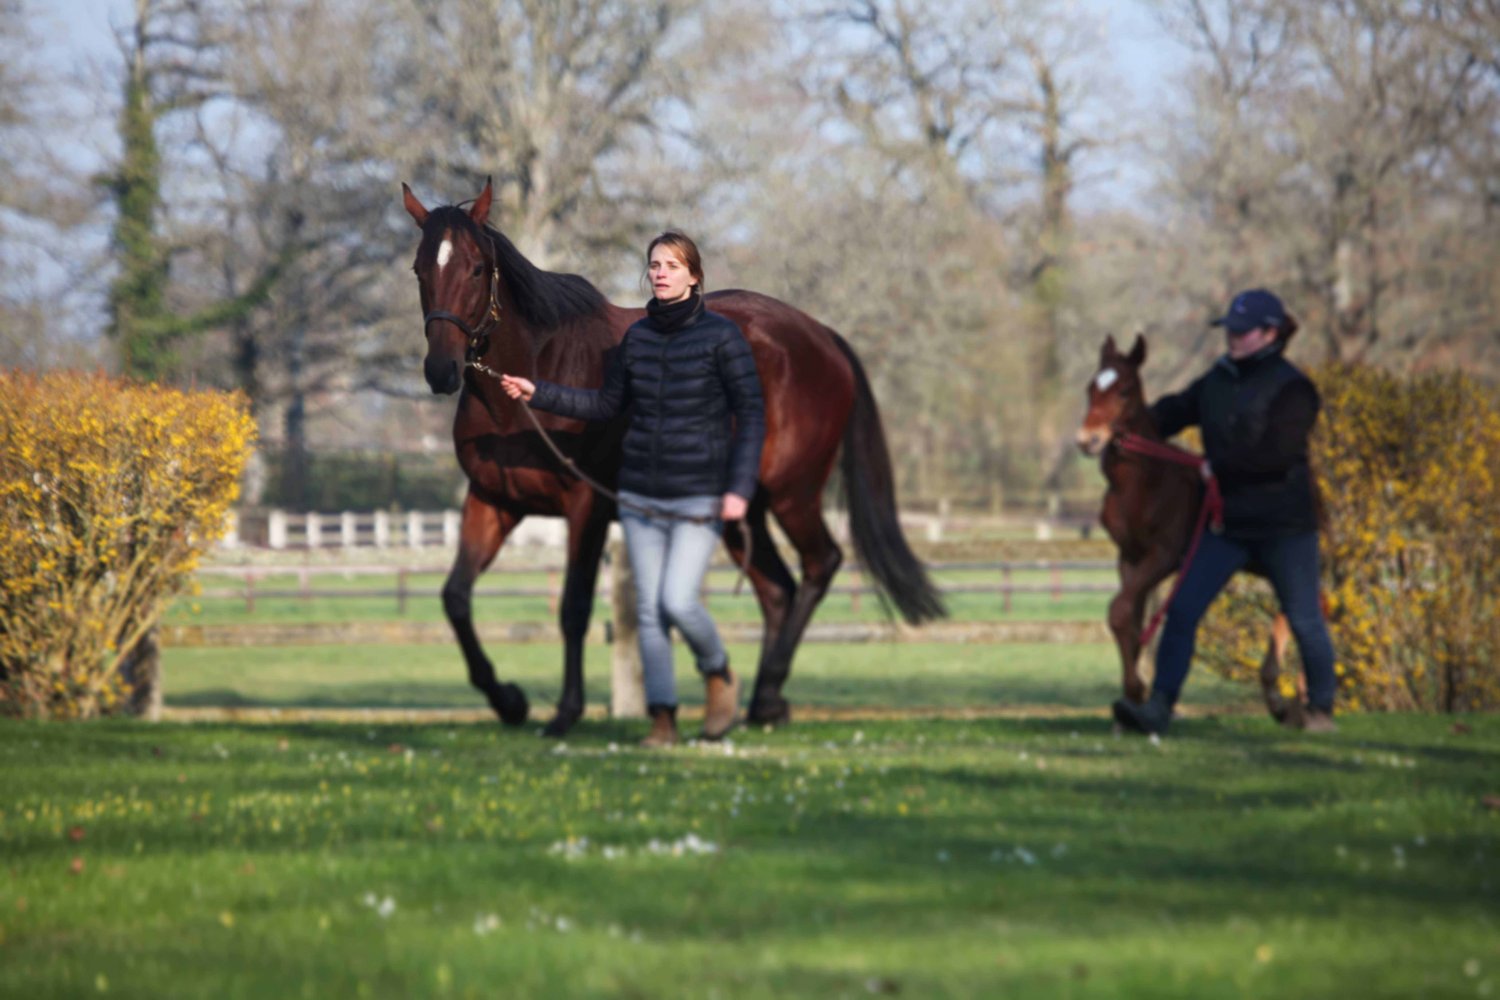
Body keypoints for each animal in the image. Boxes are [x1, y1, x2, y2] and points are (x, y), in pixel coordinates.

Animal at [401, 179, 945, 736]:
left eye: (475, 268)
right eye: (420, 269)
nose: (441, 370)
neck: (536, 373)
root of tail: (823, 337)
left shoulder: (586, 507)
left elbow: (574, 607)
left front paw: (565, 711)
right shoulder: (494, 502)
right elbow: (456, 598)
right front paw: (508, 700)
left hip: (793, 494)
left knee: (821, 564)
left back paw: (768, 691)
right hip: (741, 510)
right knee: (777, 589)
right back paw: (761, 702)